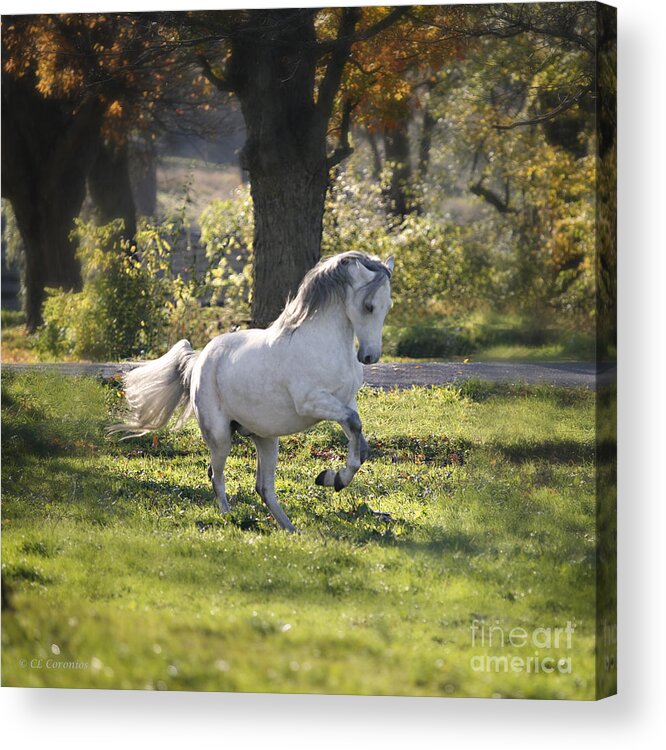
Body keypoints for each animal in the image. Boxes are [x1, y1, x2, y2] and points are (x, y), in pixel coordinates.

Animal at [109, 254, 394, 536]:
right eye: (369, 306)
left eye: (387, 305)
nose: (369, 356)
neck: (321, 343)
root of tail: (199, 359)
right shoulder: (313, 403)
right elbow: (355, 426)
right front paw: (334, 479)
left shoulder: (344, 402)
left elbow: (359, 441)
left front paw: (330, 477)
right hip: (220, 437)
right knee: (216, 475)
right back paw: (230, 518)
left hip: (266, 438)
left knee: (263, 487)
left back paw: (290, 529)